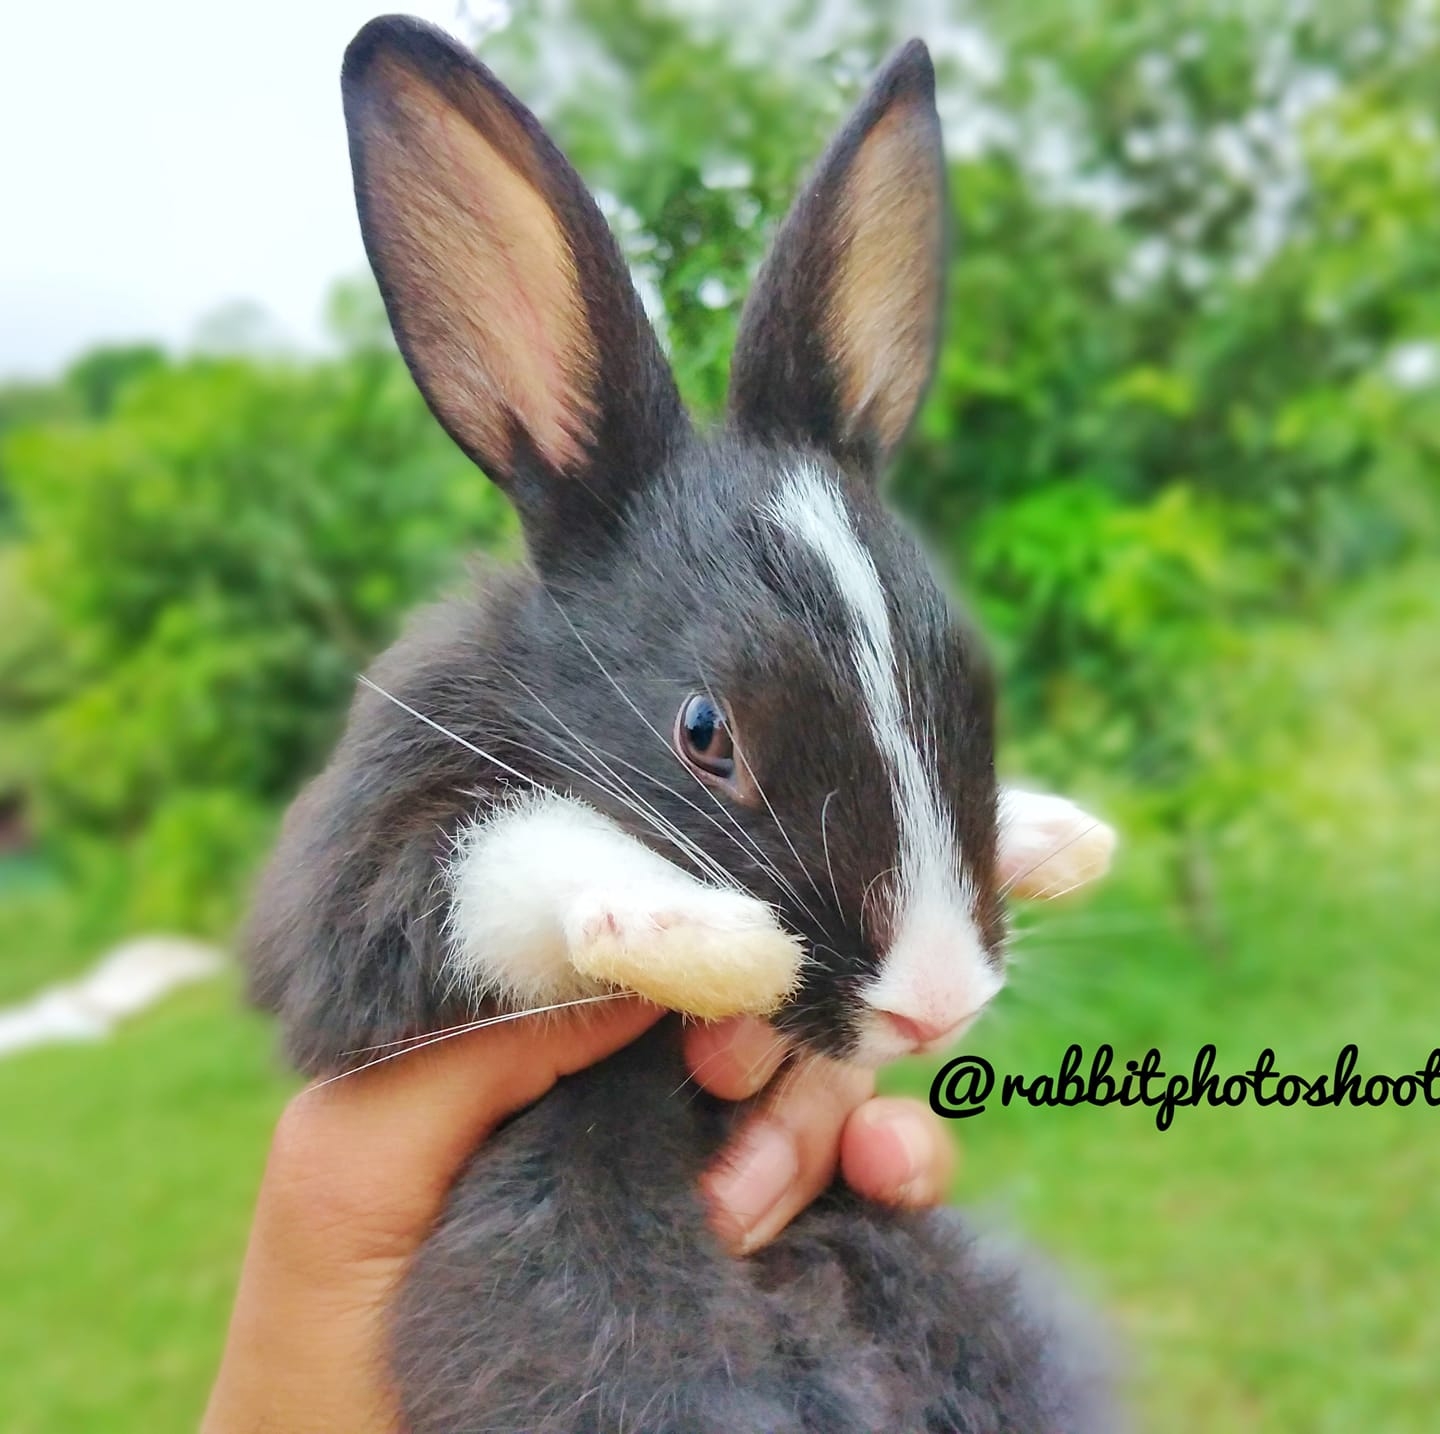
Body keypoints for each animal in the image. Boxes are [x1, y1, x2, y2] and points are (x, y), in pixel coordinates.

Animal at [245, 14, 1120, 1433]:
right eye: (705, 734)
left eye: (973, 678)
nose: (934, 1005)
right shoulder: (352, 900)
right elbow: (496, 862)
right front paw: (703, 940)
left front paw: (1063, 834)